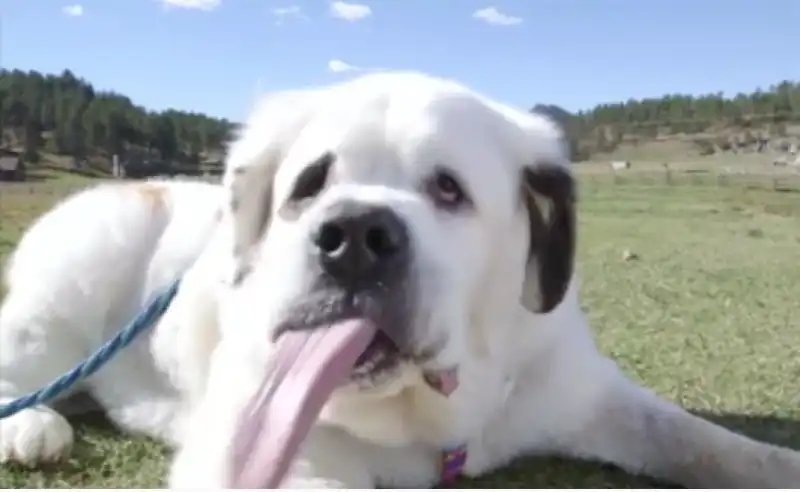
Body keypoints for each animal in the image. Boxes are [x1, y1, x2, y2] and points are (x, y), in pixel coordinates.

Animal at [1, 70, 800, 488]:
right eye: (310, 185)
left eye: (448, 189)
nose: (355, 236)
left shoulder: (584, 389)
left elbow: (701, 440)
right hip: (66, 289)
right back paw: (34, 427)